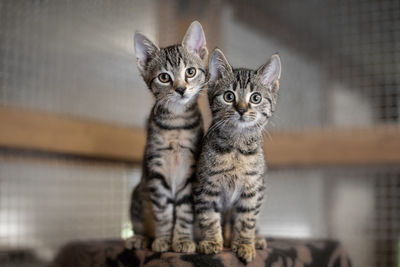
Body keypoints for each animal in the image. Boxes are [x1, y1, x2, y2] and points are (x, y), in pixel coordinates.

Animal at [128, 21, 209, 253]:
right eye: (164, 77)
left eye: (190, 72)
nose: (181, 89)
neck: (176, 124)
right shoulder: (156, 171)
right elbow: (163, 212)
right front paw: (164, 240)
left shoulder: (191, 174)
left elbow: (184, 211)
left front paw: (182, 240)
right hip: (138, 193)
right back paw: (140, 238)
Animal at [195, 48, 282, 264]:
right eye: (229, 96)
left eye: (256, 98)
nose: (241, 109)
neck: (236, 148)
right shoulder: (206, 186)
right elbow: (208, 215)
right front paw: (211, 241)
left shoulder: (252, 188)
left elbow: (246, 219)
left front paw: (244, 244)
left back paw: (254, 239)